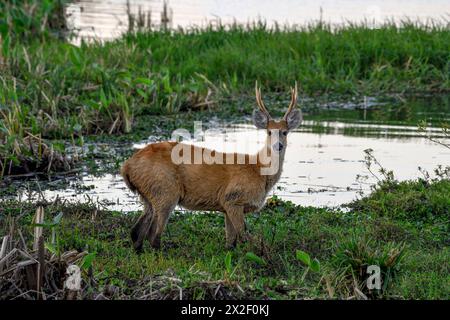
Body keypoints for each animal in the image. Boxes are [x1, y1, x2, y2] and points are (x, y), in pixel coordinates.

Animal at [120, 83, 302, 252]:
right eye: (269, 132)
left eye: (285, 132)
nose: (278, 145)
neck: (259, 170)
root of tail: (127, 166)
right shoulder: (233, 198)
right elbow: (243, 236)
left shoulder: (227, 206)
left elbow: (230, 242)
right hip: (165, 190)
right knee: (153, 235)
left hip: (149, 194)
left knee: (136, 231)